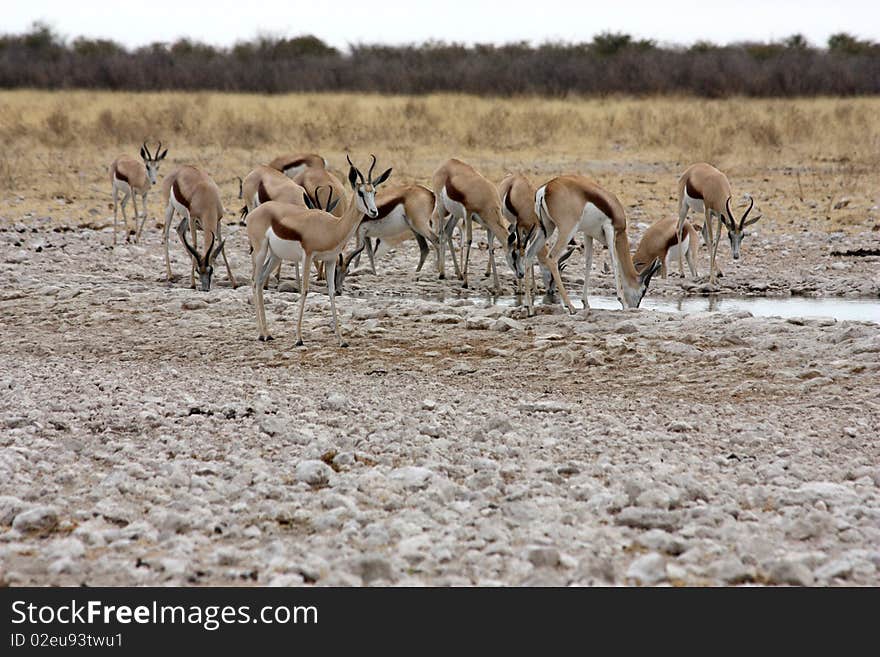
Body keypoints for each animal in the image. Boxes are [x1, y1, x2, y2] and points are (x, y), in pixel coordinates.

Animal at [249, 156, 390, 346]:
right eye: (360, 192)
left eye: (374, 192)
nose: (374, 212)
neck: (332, 227)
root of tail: (255, 212)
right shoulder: (308, 256)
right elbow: (305, 289)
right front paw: (299, 338)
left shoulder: (330, 260)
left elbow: (331, 292)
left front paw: (341, 339)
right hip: (260, 251)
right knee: (255, 281)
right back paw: (261, 334)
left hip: (275, 256)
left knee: (261, 280)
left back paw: (267, 333)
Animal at [434, 158, 524, 290]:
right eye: (513, 254)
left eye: (523, 253)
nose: (521, 274)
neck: (485, 198)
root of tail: (448, 162)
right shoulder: (468, 214)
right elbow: (469, 240)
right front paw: (465, 283)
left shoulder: (489, 226)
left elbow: (491, 248)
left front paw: (498, 286)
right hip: (441, 207)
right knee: (441, 233)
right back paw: (442, 274)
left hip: (455, 214)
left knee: (448, 231)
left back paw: (458, 274)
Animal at [528, 176, 660, 314]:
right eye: (644, 290)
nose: (635, 307)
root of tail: (546, 188)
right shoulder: (610, 230)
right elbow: (614, 262)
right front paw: (622, 302)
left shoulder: (588, 233)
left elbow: (588, 263)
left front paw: (585, 303)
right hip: (567, 230)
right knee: (552, 257)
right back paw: (571, 307)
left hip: (547, 228)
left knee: (529, 253)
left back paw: (530, 309)